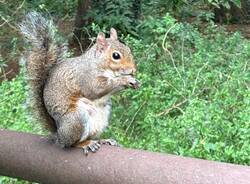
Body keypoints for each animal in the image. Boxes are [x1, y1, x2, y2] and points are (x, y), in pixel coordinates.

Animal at [19, 10, 141, 153]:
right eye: (116, 55)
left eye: (128, 49)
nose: (133, 70)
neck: (98, 63)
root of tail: (59, 135)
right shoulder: (86, 77)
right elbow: (96, 89)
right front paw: (125, 79)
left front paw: (134, 81)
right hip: (77, 119)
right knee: (72, 144)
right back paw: (85, 144)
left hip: (103, 116)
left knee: (91, 135)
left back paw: (103, 140)